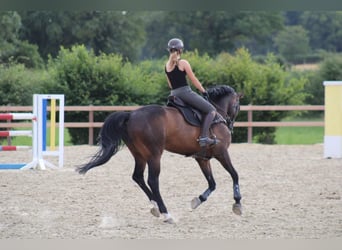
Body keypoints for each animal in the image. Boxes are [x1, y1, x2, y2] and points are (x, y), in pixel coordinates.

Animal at [77, 85, 243, 223]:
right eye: (238, 105)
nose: (231, 124)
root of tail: (131, 115)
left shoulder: (202, 159)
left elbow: (212, 183)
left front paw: (198, 200)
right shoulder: (222, 153)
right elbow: (234, 174)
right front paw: (237, 203)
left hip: (139, 155)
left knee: (138, 177)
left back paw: (155, 206)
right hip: (154, 155)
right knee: (152, 181)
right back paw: (166, 213)